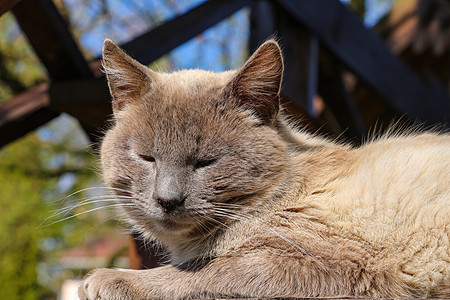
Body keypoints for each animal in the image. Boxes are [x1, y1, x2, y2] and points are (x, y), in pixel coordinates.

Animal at [78, 38, 450, 298]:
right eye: (147, 158)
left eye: (206, 162)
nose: (167, 200)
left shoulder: (322, 262)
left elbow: (203, 271)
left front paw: (105, 280)